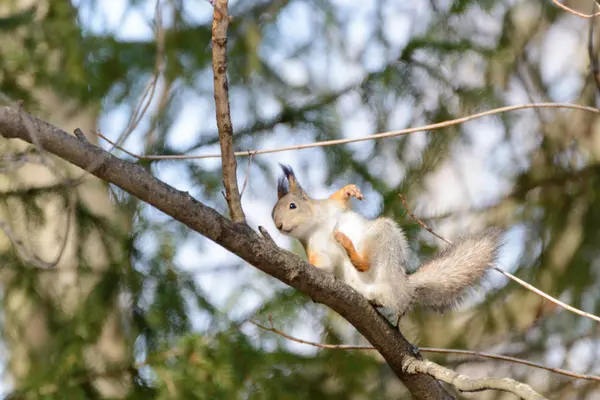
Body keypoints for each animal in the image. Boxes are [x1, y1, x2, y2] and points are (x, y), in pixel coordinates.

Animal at [272, 164, 502, 318]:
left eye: (292, 206)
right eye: (272, 215)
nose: (279, 226)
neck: (317, 225)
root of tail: (402, 287)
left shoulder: (332, 207)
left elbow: (339, 198)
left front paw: (349, 190)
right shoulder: (316, 249)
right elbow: (323, 267)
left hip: (384, 236)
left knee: (367, 262)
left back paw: (348, 246)